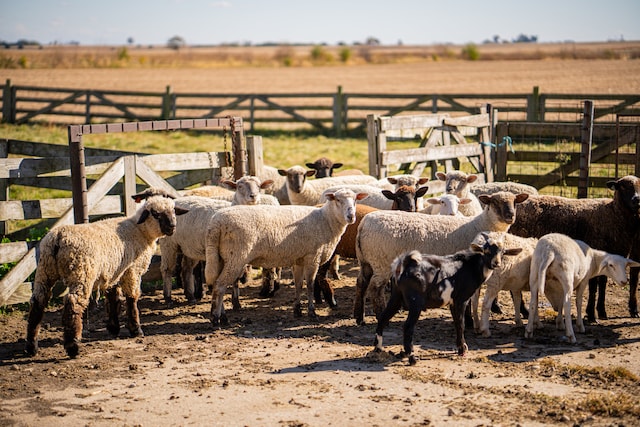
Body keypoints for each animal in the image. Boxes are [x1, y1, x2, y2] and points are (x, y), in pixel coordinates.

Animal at [205, 187, 364, 324]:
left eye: (355, 200)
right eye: (338, 200)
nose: (351, 216)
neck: (326, 219)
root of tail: (215, 224)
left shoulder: (299, 259)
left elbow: (299, 284)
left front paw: (297, 311)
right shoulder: (312, 256)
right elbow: (310, 285)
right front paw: (311, 312)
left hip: (220, 257)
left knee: (217, 283)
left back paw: (222, 317)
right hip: (235, 257)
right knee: (220, 285)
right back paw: (216, 318)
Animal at [352, 192, 528, 322]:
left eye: (515, 202)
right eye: (494, 202)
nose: (510, 216)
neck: (480, 225)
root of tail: (363, 224)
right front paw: (469, 321)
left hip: (366, 260)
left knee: (361, 282)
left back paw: (359, 317)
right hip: (382, 261)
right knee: (375, 288)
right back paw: (380, 315)